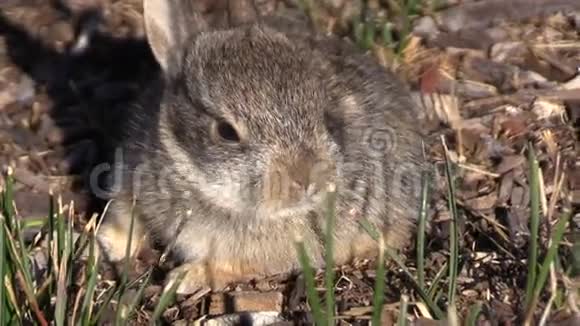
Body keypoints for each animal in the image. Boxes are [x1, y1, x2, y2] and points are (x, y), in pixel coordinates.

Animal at [97, 0, 426, 296]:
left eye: (325, 117)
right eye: (226, 132)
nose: (307, 180)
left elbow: (232, 266)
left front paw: (186, 278)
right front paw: (112, 242)